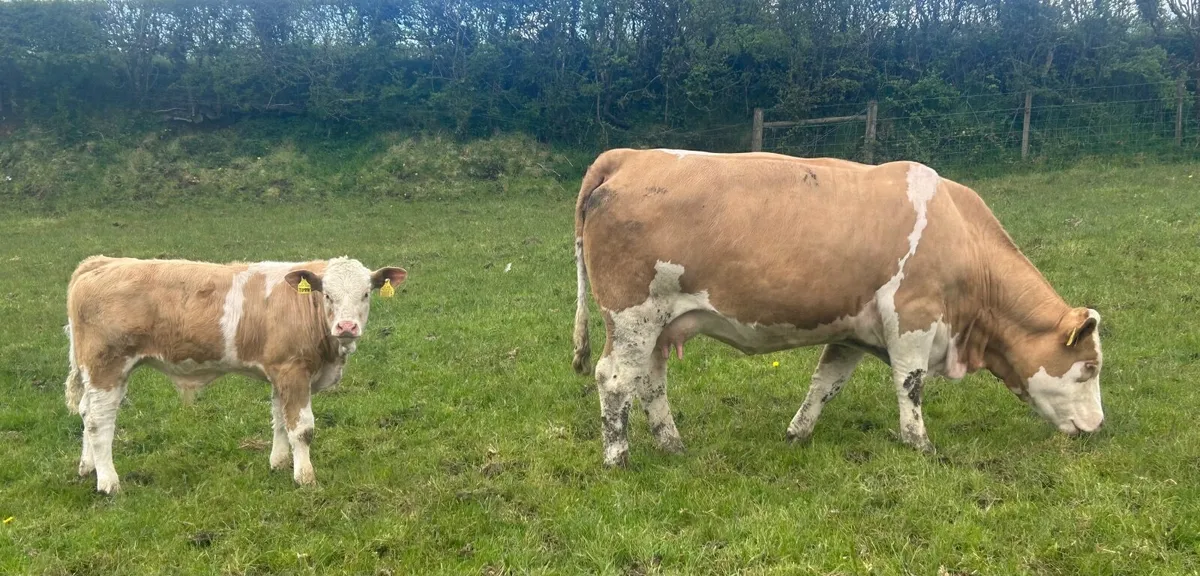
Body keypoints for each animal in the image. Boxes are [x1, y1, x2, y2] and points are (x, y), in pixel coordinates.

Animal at [64, 255, 407, 493]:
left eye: (366, 294)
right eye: (327, 295)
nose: (347, 327)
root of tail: (102, 262)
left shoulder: (279, 370)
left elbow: (279, 419)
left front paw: (279, 463)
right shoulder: (293, 370)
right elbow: (301, 428)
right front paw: (305, 477)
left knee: (86, 412)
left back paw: (87, 468)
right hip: (107, 367)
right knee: (99, 422)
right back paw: (108, 482)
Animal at [570, 148, 1104, 467]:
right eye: (1090, 368)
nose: (1099, 428)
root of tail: (632, 155)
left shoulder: (850, 332)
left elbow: (825, 384)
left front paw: (797, 434)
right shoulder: (913, 317)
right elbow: (909, 385)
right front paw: (919, 443)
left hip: (660, 325)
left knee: (650, 381)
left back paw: (672, 444)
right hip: (633, 316)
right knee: (614, 379)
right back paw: (618, 457)